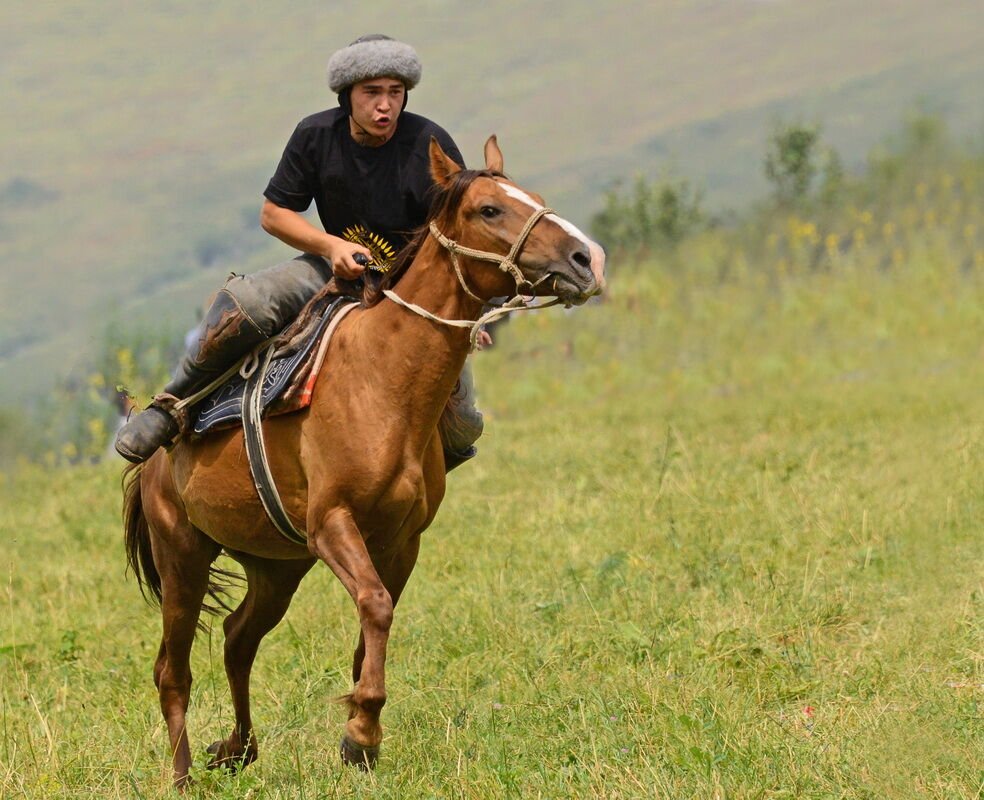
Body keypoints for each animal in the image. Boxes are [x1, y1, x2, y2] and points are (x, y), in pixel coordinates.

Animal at [124, 138, 608, 788]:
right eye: (488, 209)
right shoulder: (334, 523)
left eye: (531, 196)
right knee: (172, 670)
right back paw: (183, 776)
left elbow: (372, 625)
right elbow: (375, 608)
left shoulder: (401, 540)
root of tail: (159, 460)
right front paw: (360, 737)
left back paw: (237, 748)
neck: (384, 379)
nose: (586, 259)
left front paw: (361, 727)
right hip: (183, 557)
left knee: (236, 640)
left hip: (276, 567)